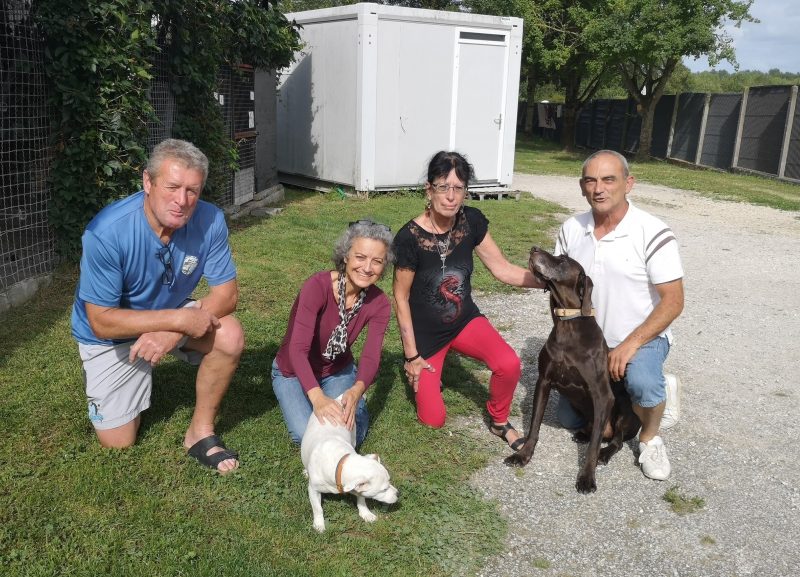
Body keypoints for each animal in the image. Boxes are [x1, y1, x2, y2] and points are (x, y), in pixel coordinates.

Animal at [300, 396, 400, 532]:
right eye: (383, 489)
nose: (398, 494)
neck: (339, 462)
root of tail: (337, 400)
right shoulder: (313, 489)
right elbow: (317, 508)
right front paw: (319, 524)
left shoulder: (358, 488)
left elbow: (361, 499)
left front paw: (366, 513)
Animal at [506, 245, 636, 492]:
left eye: (563, 260)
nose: (534, 249)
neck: (567, 324)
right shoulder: (544, 381)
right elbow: (534, 427)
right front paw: (523, 455)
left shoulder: (602, 395)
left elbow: (593, 447)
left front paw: (587, 477)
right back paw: (583, 433)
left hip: (624, 408)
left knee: (616, 440)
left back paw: (605, 451)